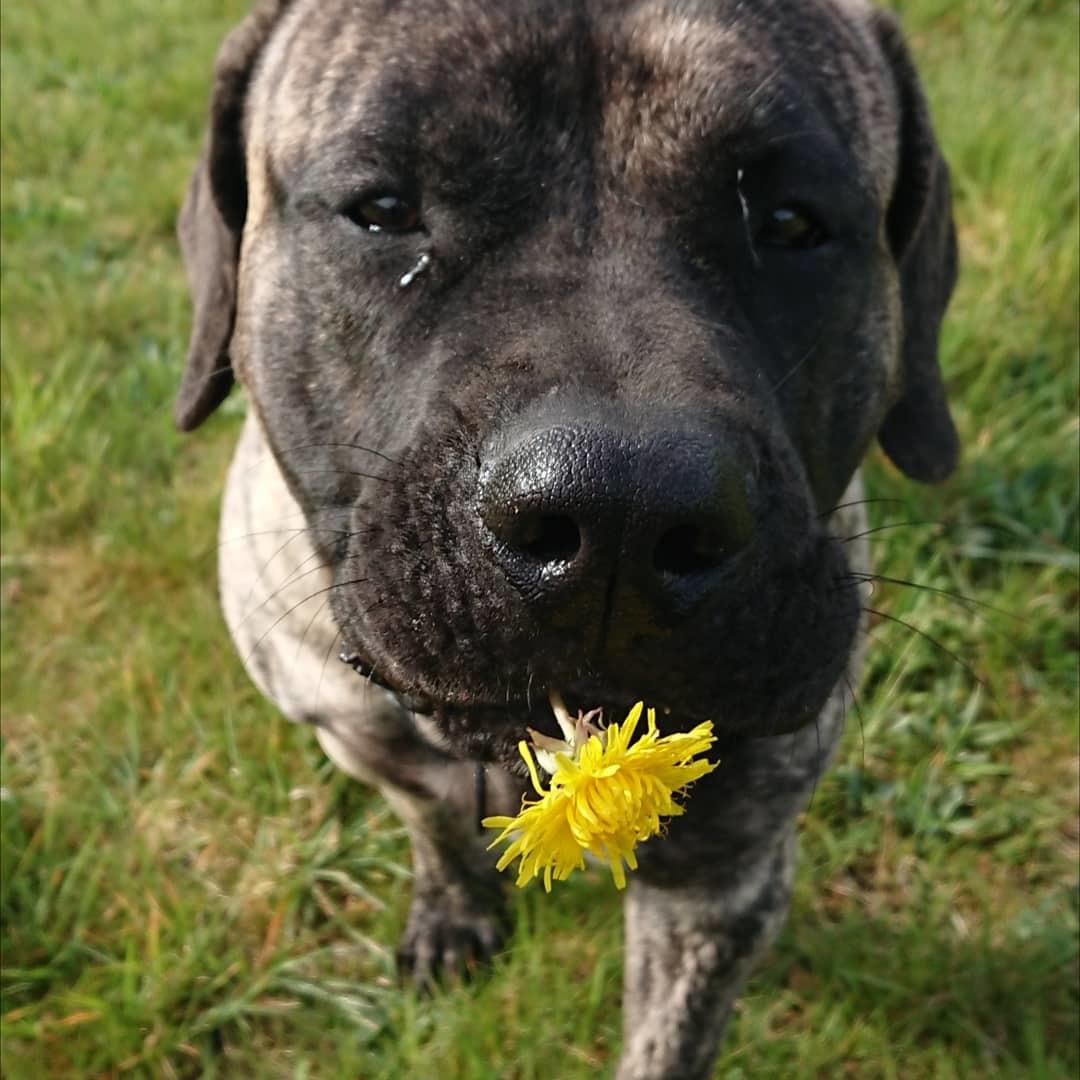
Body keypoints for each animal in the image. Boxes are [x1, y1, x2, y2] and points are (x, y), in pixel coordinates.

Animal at [179, 4, 963, 1075]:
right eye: (383, 209)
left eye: (792, 224)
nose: (620, 516)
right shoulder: (358, 734)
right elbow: (433, 822)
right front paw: (453, 912)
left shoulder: (725, 879)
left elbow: (668, 1037)